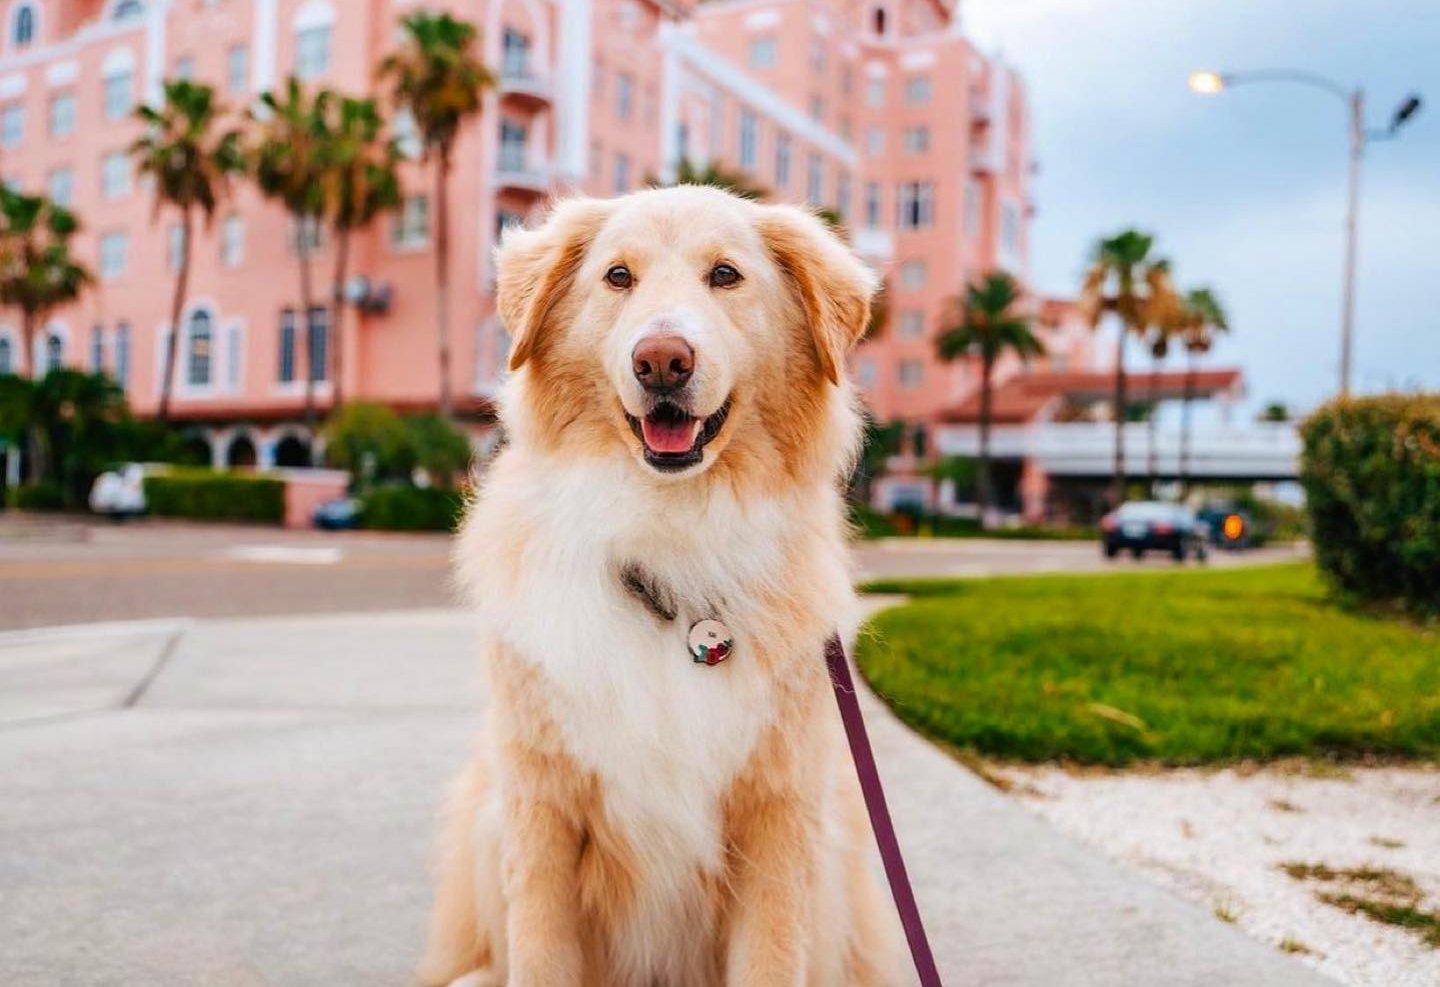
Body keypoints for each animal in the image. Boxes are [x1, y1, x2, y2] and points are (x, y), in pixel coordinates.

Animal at [417, 187, 904, 985]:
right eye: (618, 276)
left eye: (726, 275)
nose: (662, 361)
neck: (667, 535)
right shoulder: (540, 814)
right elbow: (540, 954)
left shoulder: (779, 820)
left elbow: (771, 959)